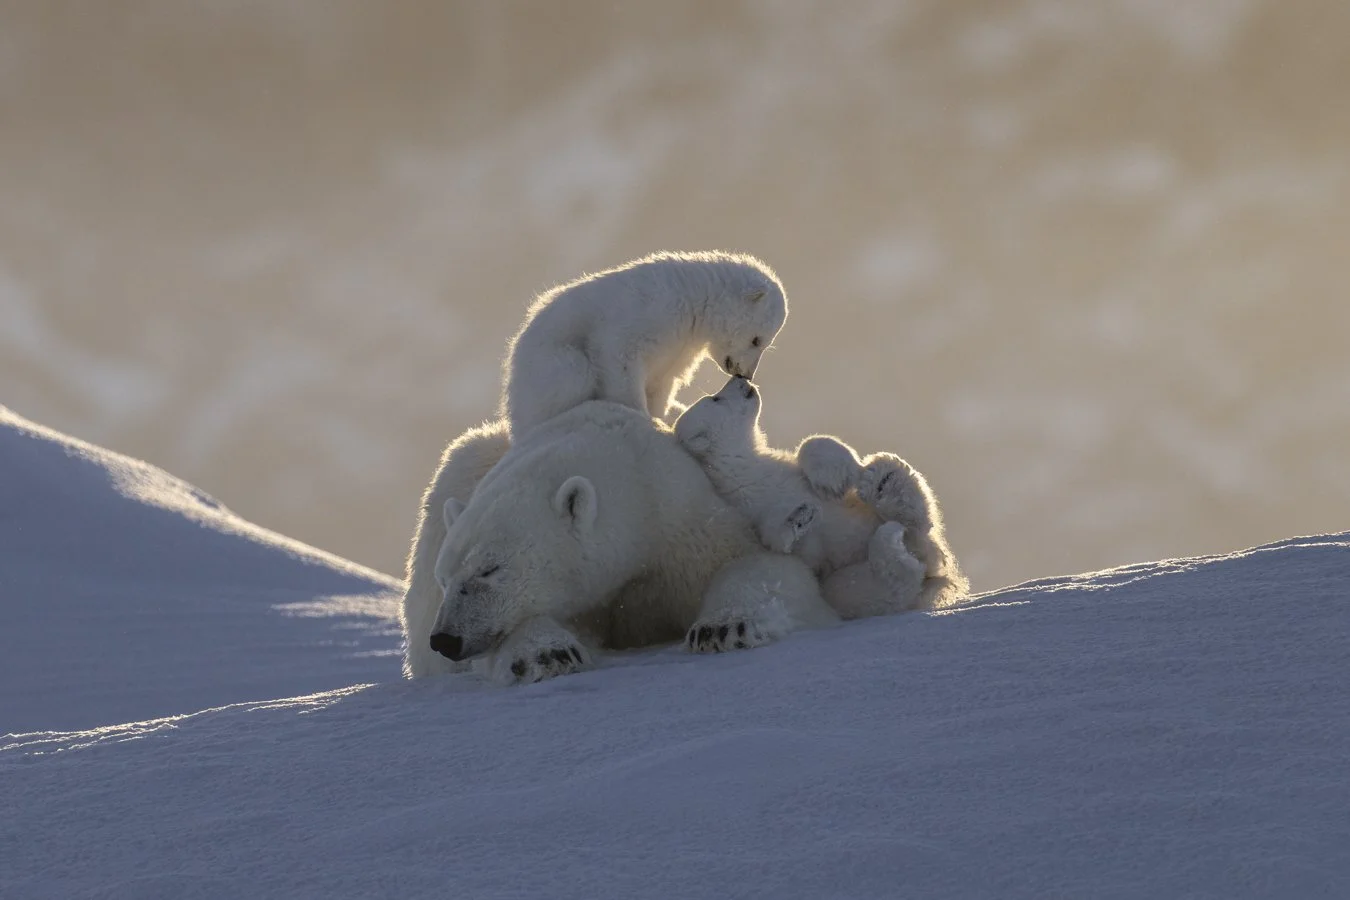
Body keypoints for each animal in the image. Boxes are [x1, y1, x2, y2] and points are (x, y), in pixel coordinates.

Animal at [416, 400, 840, 684]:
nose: (445, 639)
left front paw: (722, 628)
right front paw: (547, 653)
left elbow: (766, 567)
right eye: (444, 579)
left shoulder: (685, 519)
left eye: (489, 570)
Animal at [500, 250, 789, 438]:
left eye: (765, 343)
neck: (693, 300)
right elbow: (618, 357)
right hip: (551, 362)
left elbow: (661, 384)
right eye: (757, 340)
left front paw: (659, 418)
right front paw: (640, 417)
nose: (746, 375)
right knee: (572, 375)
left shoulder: (678, 351)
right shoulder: (648, 312)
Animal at [672, 376, 968, 616]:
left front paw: (835, 475)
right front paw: (799, 517)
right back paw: (892, 540)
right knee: (877, 585)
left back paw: (882, 481)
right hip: (851, 578)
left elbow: (811, 449)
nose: (739, 377)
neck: (748, 472)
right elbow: (780, 541)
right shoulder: (750, 510)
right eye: (715, 398)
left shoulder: (784, 472)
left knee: (917, 523)